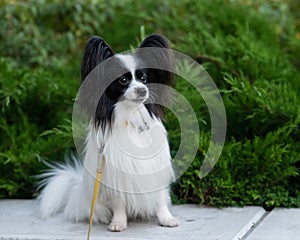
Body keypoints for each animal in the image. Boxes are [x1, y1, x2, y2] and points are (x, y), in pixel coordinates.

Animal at [37, 33, 178, 231]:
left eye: (144, 78)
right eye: (123, 80)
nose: (142, 90)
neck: (130, 118)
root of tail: (79, 193)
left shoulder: (154, 167)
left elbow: (159, 198)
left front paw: (166, 218)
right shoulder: (115, 173)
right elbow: (119, 202)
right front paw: (118, 222)